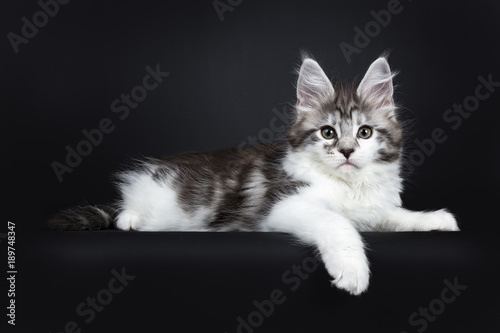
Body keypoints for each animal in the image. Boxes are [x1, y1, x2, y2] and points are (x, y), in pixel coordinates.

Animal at [48, 54, 458, 294]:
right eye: (328, 133)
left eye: (365, 132)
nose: (346, 151)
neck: (349, 185)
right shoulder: (284, 205)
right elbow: (338, 224)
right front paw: (353, 270)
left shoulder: (373, 208)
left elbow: (394, 215)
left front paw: (434, 219)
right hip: (158, 199)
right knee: (126, 212)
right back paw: (131, 218)